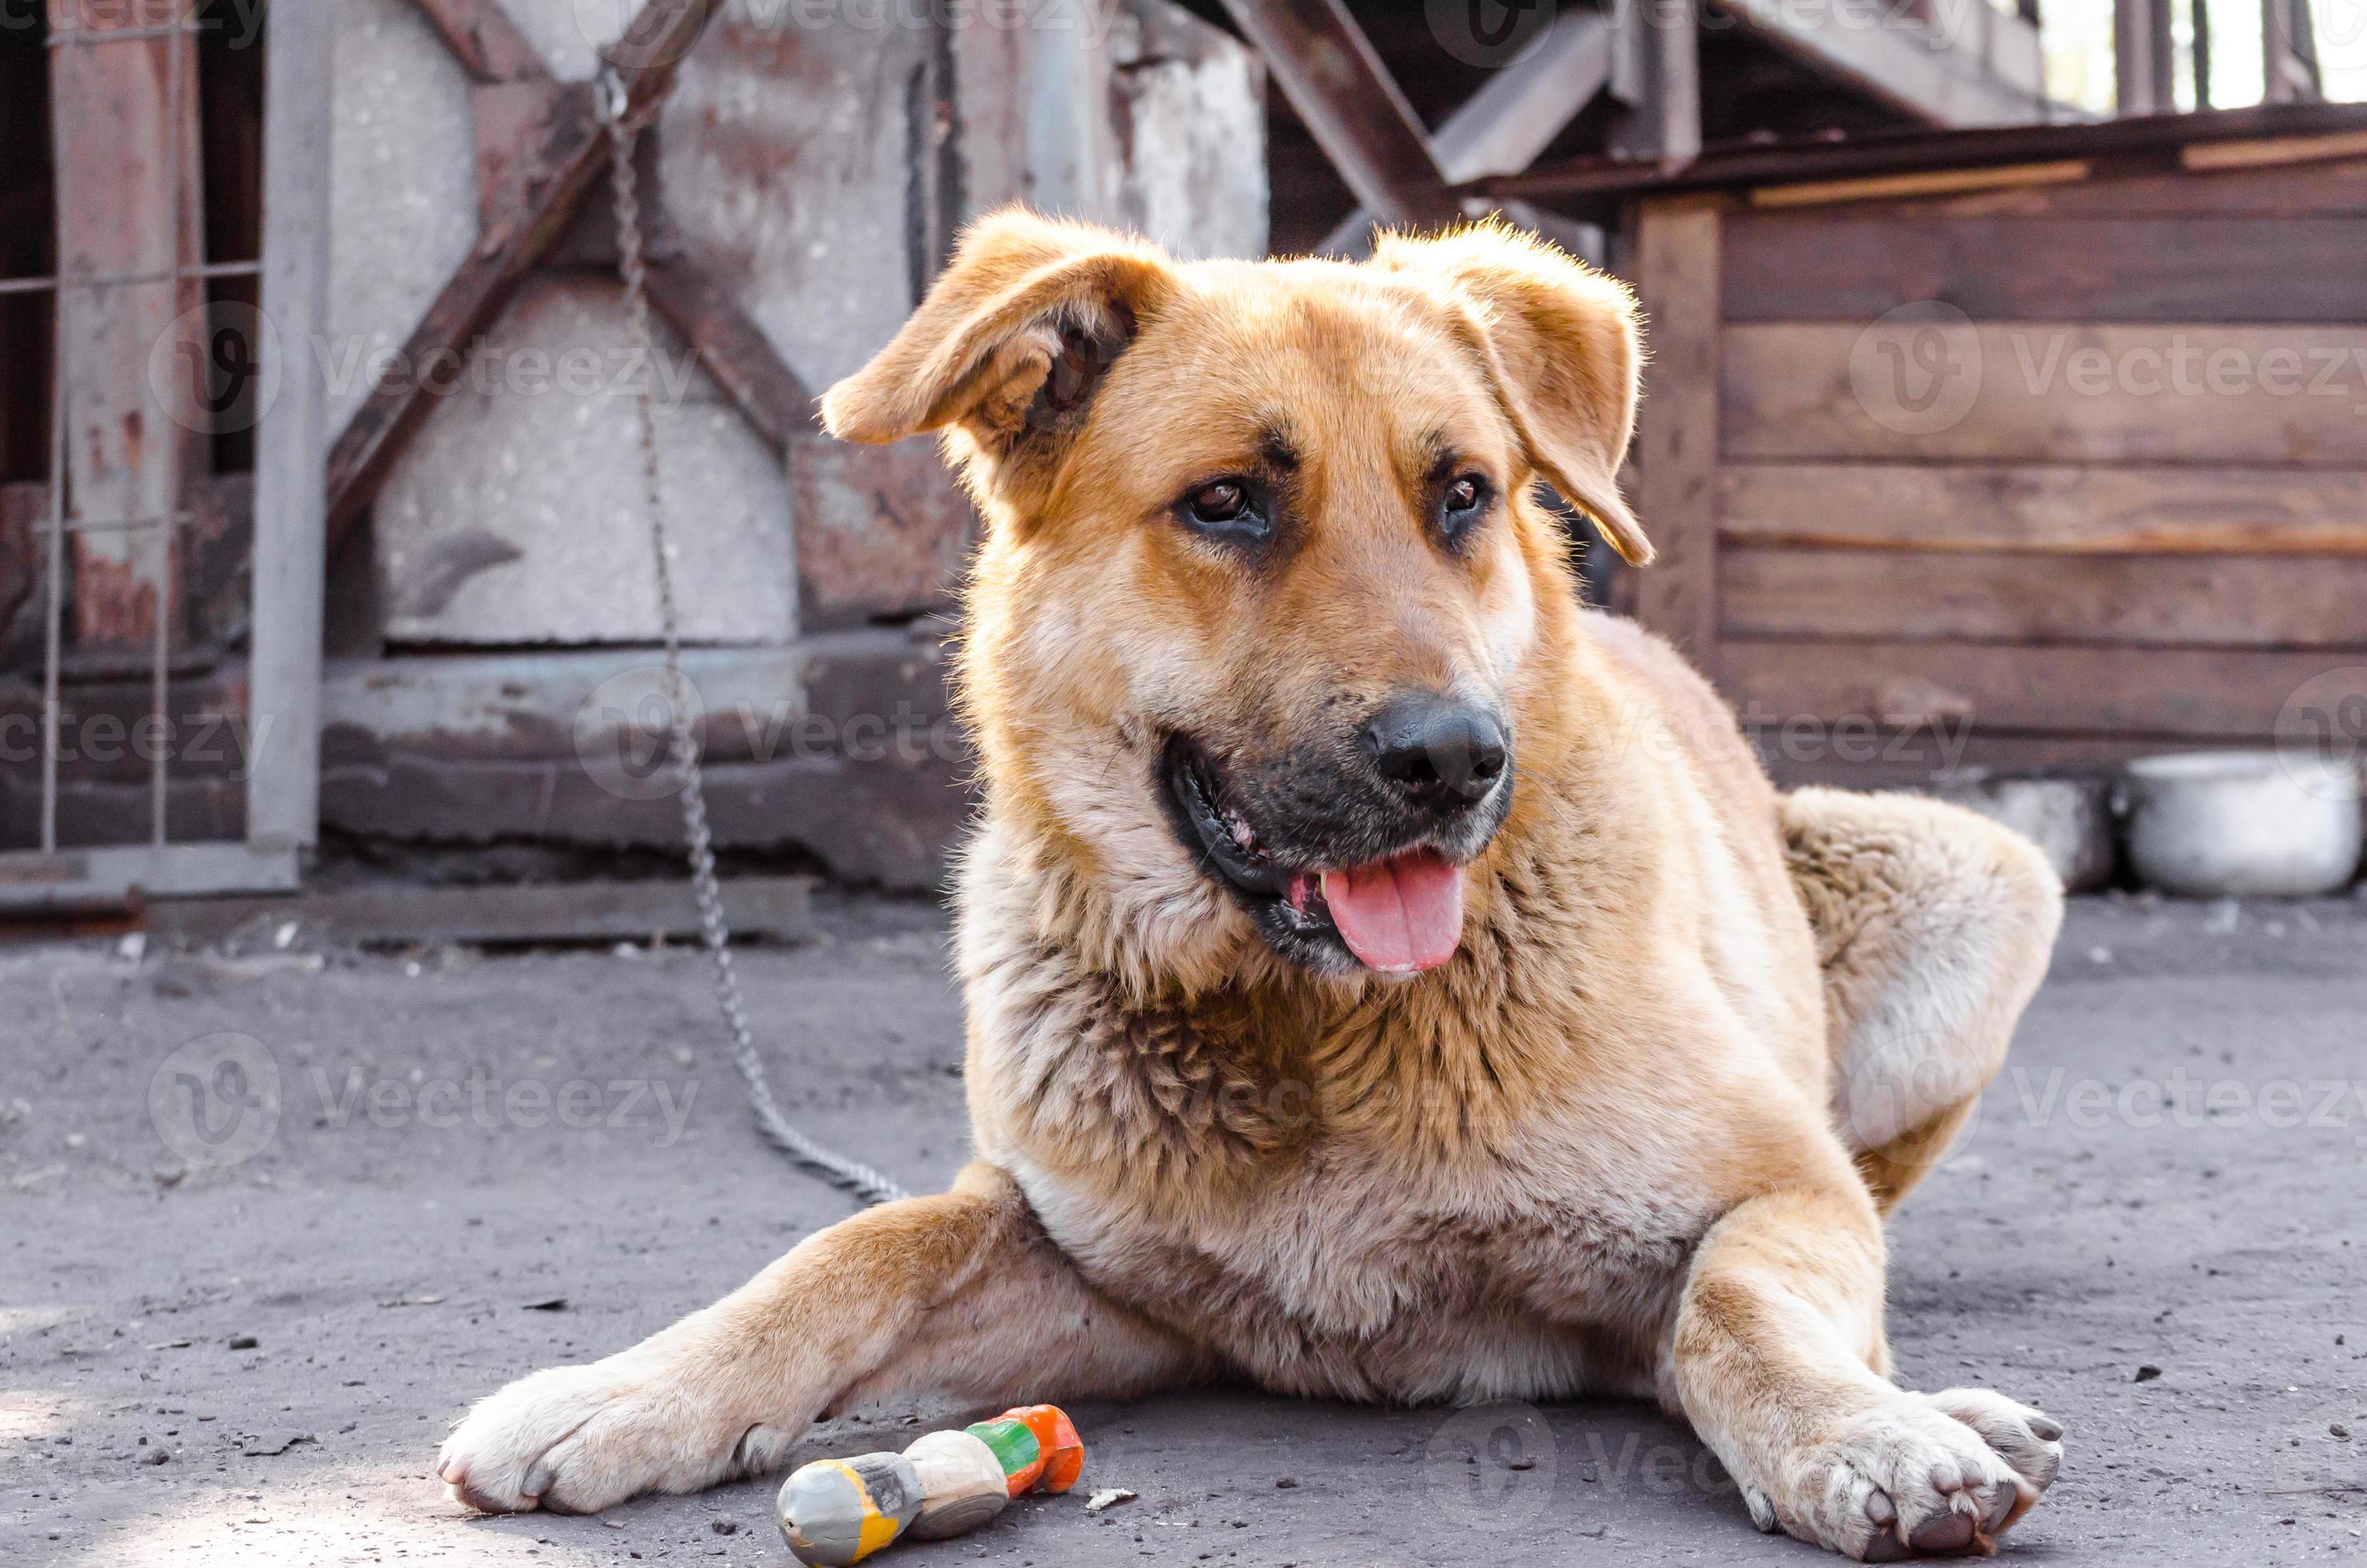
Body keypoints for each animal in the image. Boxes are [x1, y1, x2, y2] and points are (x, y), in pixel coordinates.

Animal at [435, 215, 2064, 1563]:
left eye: (1461, 495)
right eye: (1222, 503)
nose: (1454, 758)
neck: (1306, 1026)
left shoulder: (1784, 1188)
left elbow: (1727, 1310)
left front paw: (1859, 1434)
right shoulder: (1095, 1280)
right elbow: (860, 1245)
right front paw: (625, 1392)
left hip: (1986, 876)